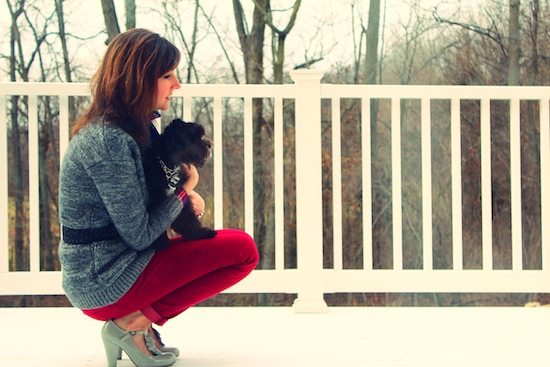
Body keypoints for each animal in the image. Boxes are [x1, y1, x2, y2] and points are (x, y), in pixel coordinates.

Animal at [142, 119, 218, 252]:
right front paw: (161, 244)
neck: (167, 166)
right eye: (194, 138)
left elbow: (187, 217)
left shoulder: (179, 194)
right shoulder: (155, 199)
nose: (209, 145)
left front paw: (198, 233)